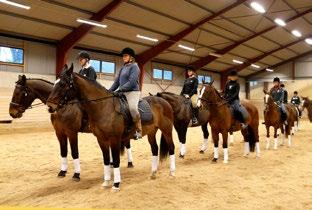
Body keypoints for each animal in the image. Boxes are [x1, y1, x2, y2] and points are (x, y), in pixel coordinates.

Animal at [47, 65, 177, 191]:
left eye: (62, 84)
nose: (50, 106)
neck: (103, 107)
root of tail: (163, 101)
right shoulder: (101, 139)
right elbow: (106, 160)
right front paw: (106, 182)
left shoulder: (114, 139)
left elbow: (115, 160)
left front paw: (116, 184)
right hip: (151, 132)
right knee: (155, 149)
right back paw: (153, 174)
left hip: (166, 130)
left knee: (171, 147)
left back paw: (172, 173)